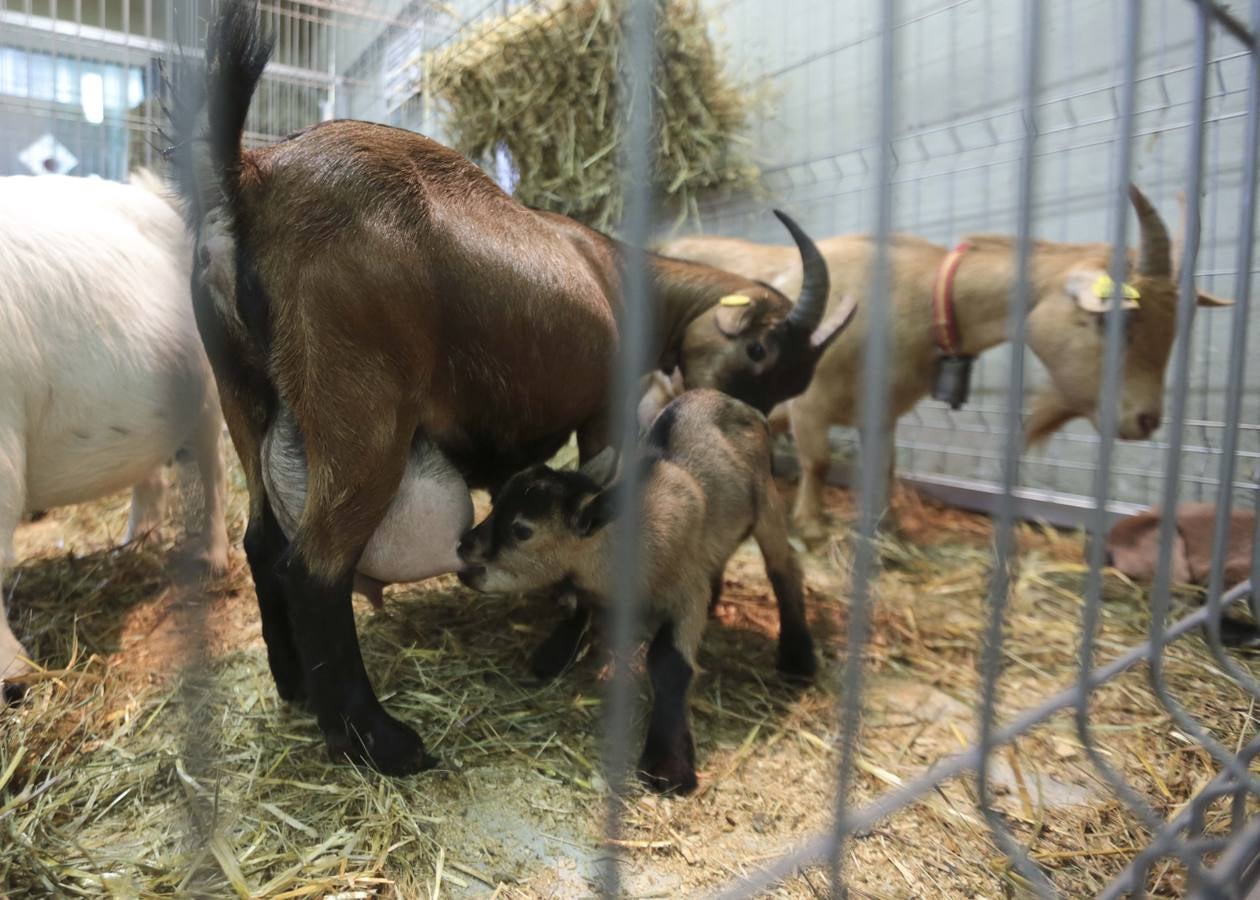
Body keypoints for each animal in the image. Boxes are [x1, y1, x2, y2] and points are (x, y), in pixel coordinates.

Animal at [2, 171, 228, 690]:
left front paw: (14, 673)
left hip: (207, 387)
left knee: (214, 470)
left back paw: (214, 560)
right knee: (152, 472)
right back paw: (132, 544)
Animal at [170, 1, 856, 771]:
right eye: (762, 351)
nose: (746, 424)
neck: (618, 275)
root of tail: (254, 176)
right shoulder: (603, 409)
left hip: (245, 402)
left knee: (262, 543)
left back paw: (293, 687)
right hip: (360, 414)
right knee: (313, 569)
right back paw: (381, 740)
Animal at [660, 194, 1229, 536]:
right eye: (1114, 324)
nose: (1146, 420)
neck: (916, 297)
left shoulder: (881, 413)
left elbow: (885, 466)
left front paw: (883, 525)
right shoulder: (810, 404)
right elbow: (818, 462)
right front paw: (811, 527)